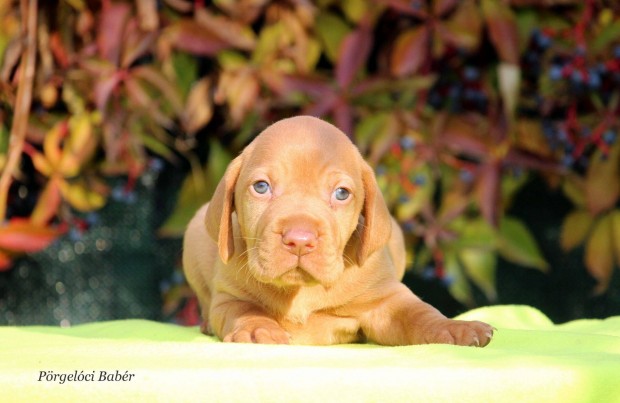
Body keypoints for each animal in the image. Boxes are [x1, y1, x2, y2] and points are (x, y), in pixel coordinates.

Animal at [180, 116, 494, 348]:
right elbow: (246, 310)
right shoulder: (229, 299)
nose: (299, 241)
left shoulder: (387, 301)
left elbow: (419, 314)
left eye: (341, 193)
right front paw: (258, 329)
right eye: (261, 187)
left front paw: (455, 327)